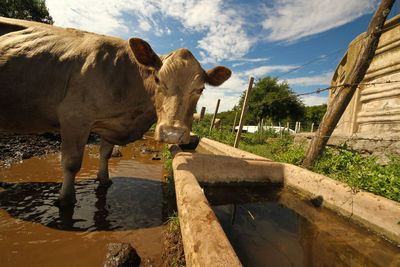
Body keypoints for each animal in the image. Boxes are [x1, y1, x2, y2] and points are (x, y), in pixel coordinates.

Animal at [0, 17, 231, 206]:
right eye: (157, 79)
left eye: (200, 89)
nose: (173, 133)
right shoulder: (74, 117)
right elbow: (71, 163)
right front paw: (66, 199)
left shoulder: (109, 124)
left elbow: (106, 153)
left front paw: (104, 179)